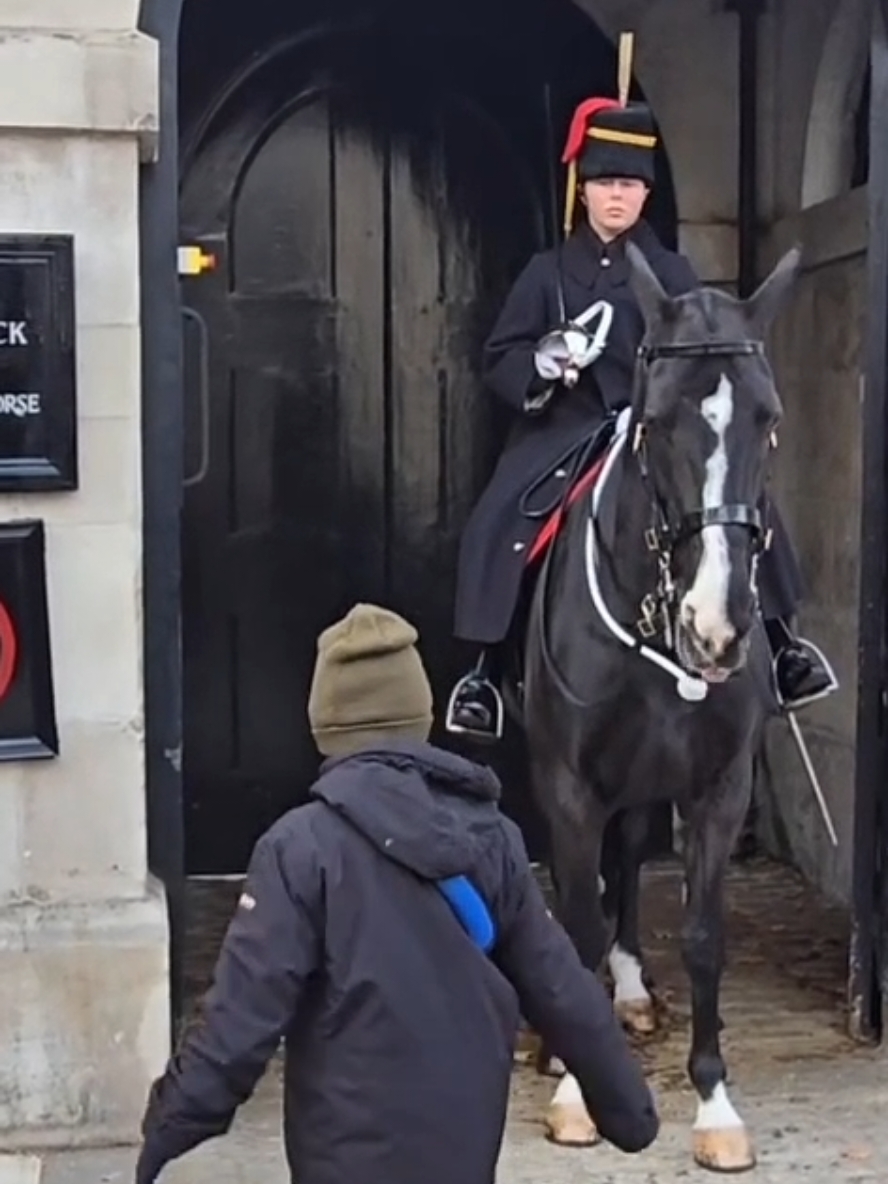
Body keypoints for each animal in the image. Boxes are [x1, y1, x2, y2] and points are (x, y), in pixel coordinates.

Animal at [525, 245, 805, 1169]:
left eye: (768, 418)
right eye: (653, 421)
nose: (715, 628)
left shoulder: (717, 788)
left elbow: (703, 936)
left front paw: (715, 1105)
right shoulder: (568, 786)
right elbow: (574, 922)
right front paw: (576, 1093)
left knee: (626, 863)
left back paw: (631, 992)